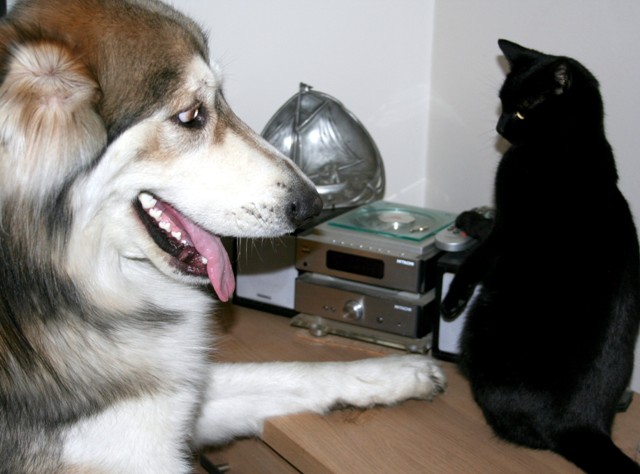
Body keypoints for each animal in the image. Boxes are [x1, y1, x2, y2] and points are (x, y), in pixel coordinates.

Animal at [442, 39, 640, 472]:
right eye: (500, 104)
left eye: (519, 111)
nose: (499, 129)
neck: (571, 145)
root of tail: (583, 425)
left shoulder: (507, 227)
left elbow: (479, 253)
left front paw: (452, 296)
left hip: (478, 328)